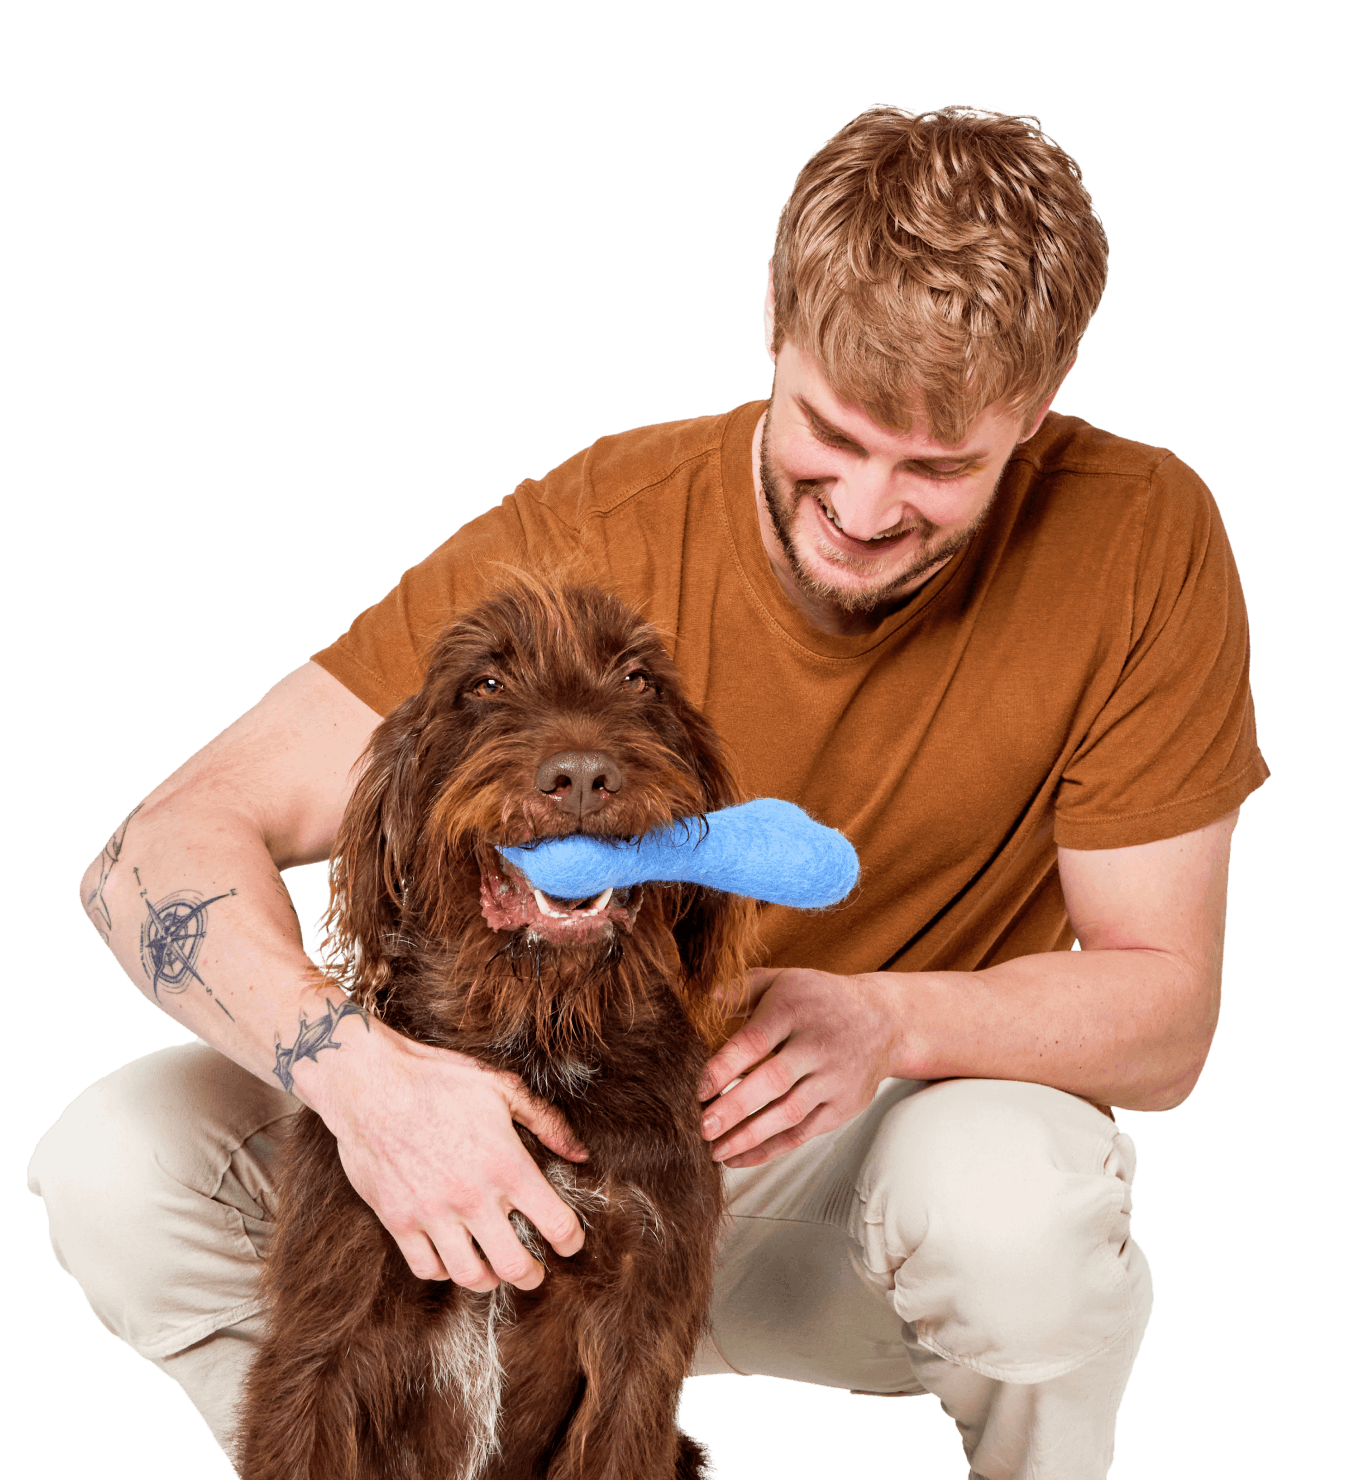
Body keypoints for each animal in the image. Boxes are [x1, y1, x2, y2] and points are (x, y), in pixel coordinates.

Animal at [239, 583, 757, 1480]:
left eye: (639, 680)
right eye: (483, 685)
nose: (581, 775)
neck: (537, 1037)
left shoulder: (641, 1335)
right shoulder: (319, 1335)